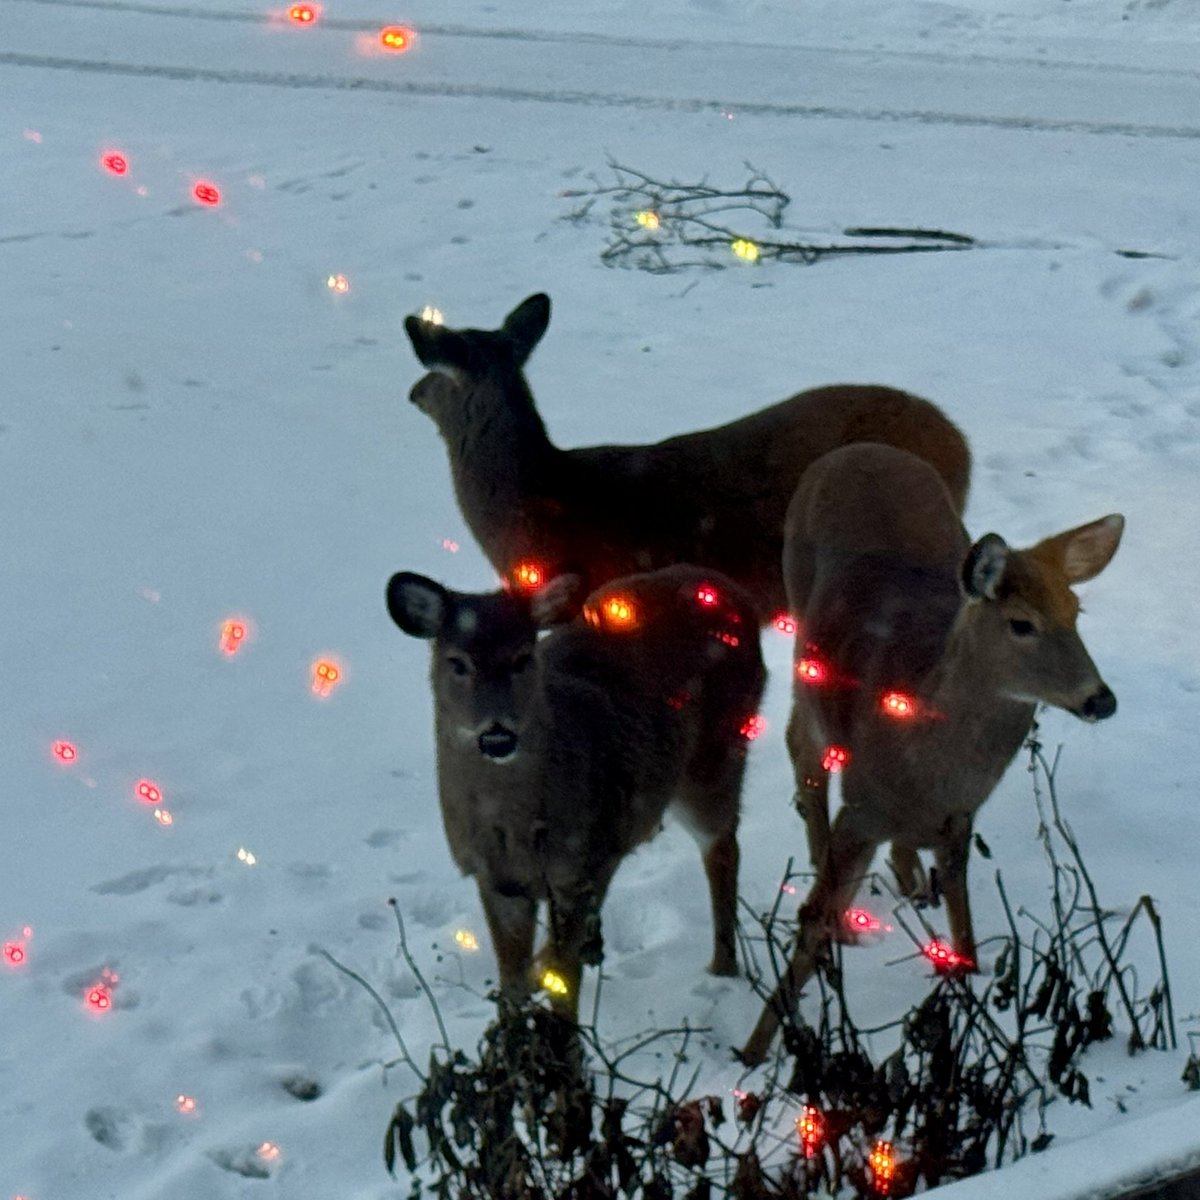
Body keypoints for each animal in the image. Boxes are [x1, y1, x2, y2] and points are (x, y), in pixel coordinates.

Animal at [385, 563, 767, 1019]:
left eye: (523, 658)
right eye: (457, 663)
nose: (497, 732)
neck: (514, 825)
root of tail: (728, 588)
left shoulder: (577, 866)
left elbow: (564, 981)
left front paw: (561, 1035)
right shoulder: (495, 877)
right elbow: (511, 979)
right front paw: (513, 1029)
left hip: (716, 757)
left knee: (723, 847)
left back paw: (723, 968)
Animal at [738, 442, 1123, 1065]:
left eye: (1076, 613)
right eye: (1022, 623)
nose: (1101, 699)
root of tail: (857, 449)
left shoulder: (959, 818)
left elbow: (963, 926)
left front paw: (970, 1001)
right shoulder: (862, 805)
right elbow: (813, 922)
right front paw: (751, 1049)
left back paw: (910, 877)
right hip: (802, 633)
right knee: (801, 742)